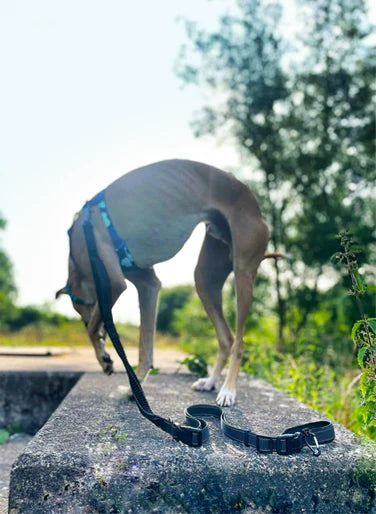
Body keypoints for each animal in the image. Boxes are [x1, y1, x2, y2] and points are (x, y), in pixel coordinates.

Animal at [55, 158, 272, 406]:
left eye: (81, 309)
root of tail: (256, 205)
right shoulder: (148, 285)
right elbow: (145, 348)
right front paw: (133, 390)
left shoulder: (113, 284)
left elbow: (93, 329)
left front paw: (104, 359)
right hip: (205, 280)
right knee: (226, 338)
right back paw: (210, 382)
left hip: (243, 272)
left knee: (240, 342)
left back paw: (228, 390)